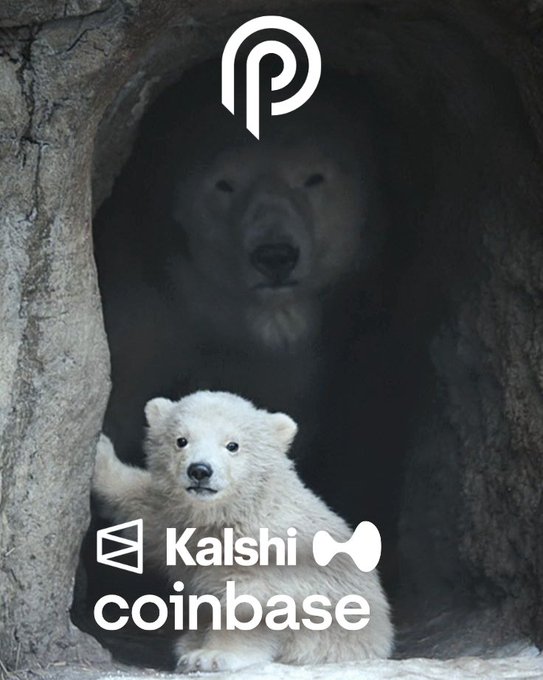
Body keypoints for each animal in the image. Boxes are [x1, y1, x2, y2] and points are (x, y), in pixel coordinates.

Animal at [92, 390, 394, 671]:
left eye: (232, 445)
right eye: (181, 440)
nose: (200, 470)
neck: (229, 514)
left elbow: (252, 602)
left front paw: (210, 655)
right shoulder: (176, 521)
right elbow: (142, 508)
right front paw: (100, 453)